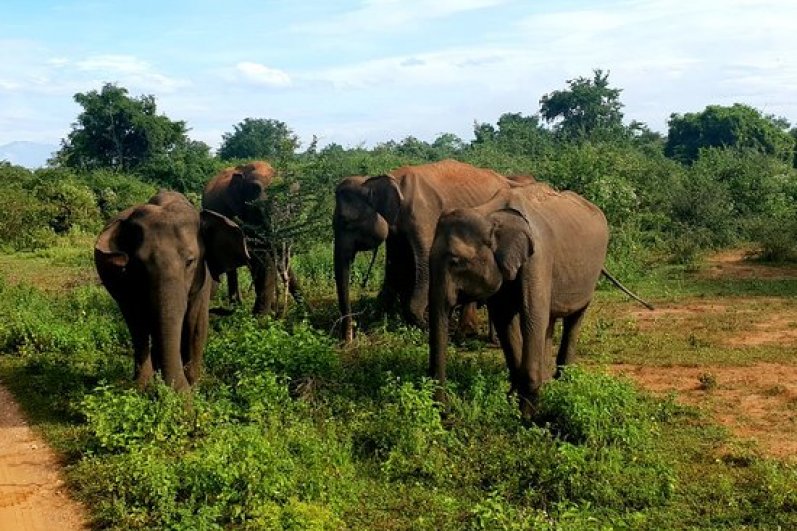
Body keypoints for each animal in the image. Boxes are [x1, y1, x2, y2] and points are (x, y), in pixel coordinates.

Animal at [95, 191, 249, 391]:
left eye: (190, 261)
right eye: (139, 265)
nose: (175, 391)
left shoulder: (203, 278)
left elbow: (196, 325)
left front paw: (193, 386)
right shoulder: (125, 281)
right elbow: (138, 323)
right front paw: (142, 387)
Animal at [333, 159, 516, 342]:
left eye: (346, 222)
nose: (347, 341)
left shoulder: (423, 218)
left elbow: (427, 264)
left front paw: (428, 326)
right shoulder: (395, 232)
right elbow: (395, 268)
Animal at [428, 183, 653, 415]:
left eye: (456, 262)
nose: (445, 410)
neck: (489, 213)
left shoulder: (538, 258)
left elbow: (533, 317)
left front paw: (527, 414)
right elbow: (505, 318)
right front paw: (514, 399)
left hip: (589, 277)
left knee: (574, 318)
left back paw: (564, 381)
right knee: (551, 320)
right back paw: (548, 380)